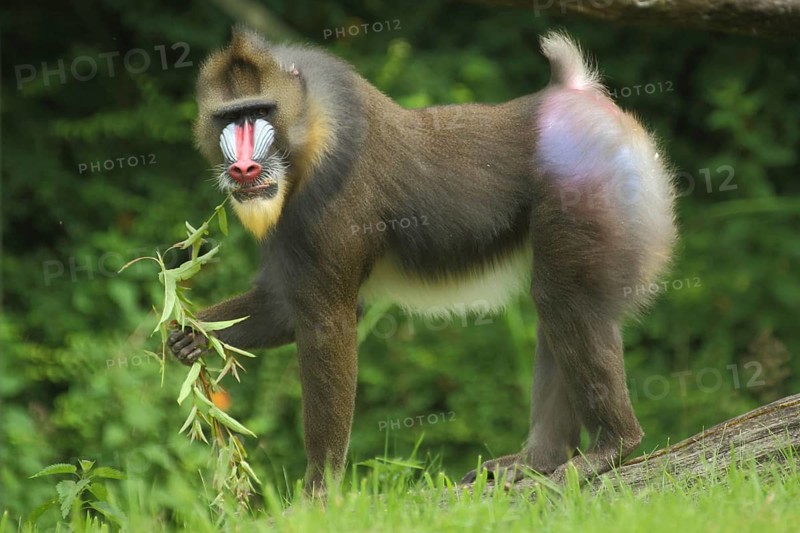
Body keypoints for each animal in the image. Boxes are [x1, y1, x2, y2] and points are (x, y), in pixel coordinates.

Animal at [168, 26, 676, 494]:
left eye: (260, 112)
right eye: (230, 116)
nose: (244, 167)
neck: (310, 133)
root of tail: (571, 95)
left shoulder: (331, 215)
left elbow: (327, 323)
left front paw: (318, 493)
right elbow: (279, 307)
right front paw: (189, 336)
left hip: (585, 200)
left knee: (564, 301)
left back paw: (611, 447)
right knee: (554, 313)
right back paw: (535, 461)